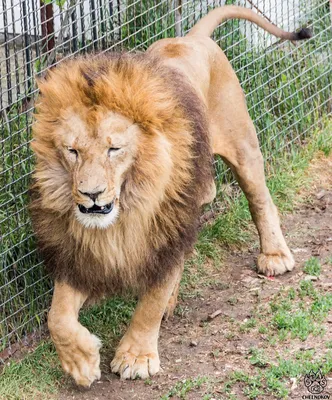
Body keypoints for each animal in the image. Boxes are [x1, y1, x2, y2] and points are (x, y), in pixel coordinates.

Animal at [29, 4, 312, 388]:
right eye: (72, 151)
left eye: (114, 149)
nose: (90, 195)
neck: (130, 204)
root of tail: (192, 38)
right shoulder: (84, 251)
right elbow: (56, 316)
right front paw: (81, 361)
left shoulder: (170, 225)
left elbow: (151, 301)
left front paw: (136, 356)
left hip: (242, 146)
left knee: (260, 200)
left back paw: (275, 255)